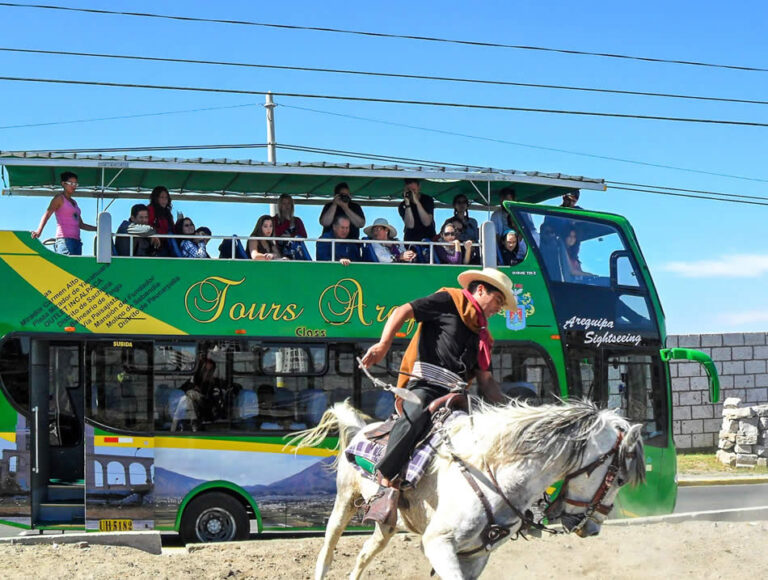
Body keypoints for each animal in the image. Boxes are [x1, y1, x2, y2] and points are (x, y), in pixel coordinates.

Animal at [292, 398, 644, 580]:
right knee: (327, 549)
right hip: (344, 502)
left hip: (387, 524)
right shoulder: (438, 544)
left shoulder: (475, 556)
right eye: (620, 479)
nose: (594, 528)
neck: (497, 476)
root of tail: (361, 429)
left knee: (365, 553)